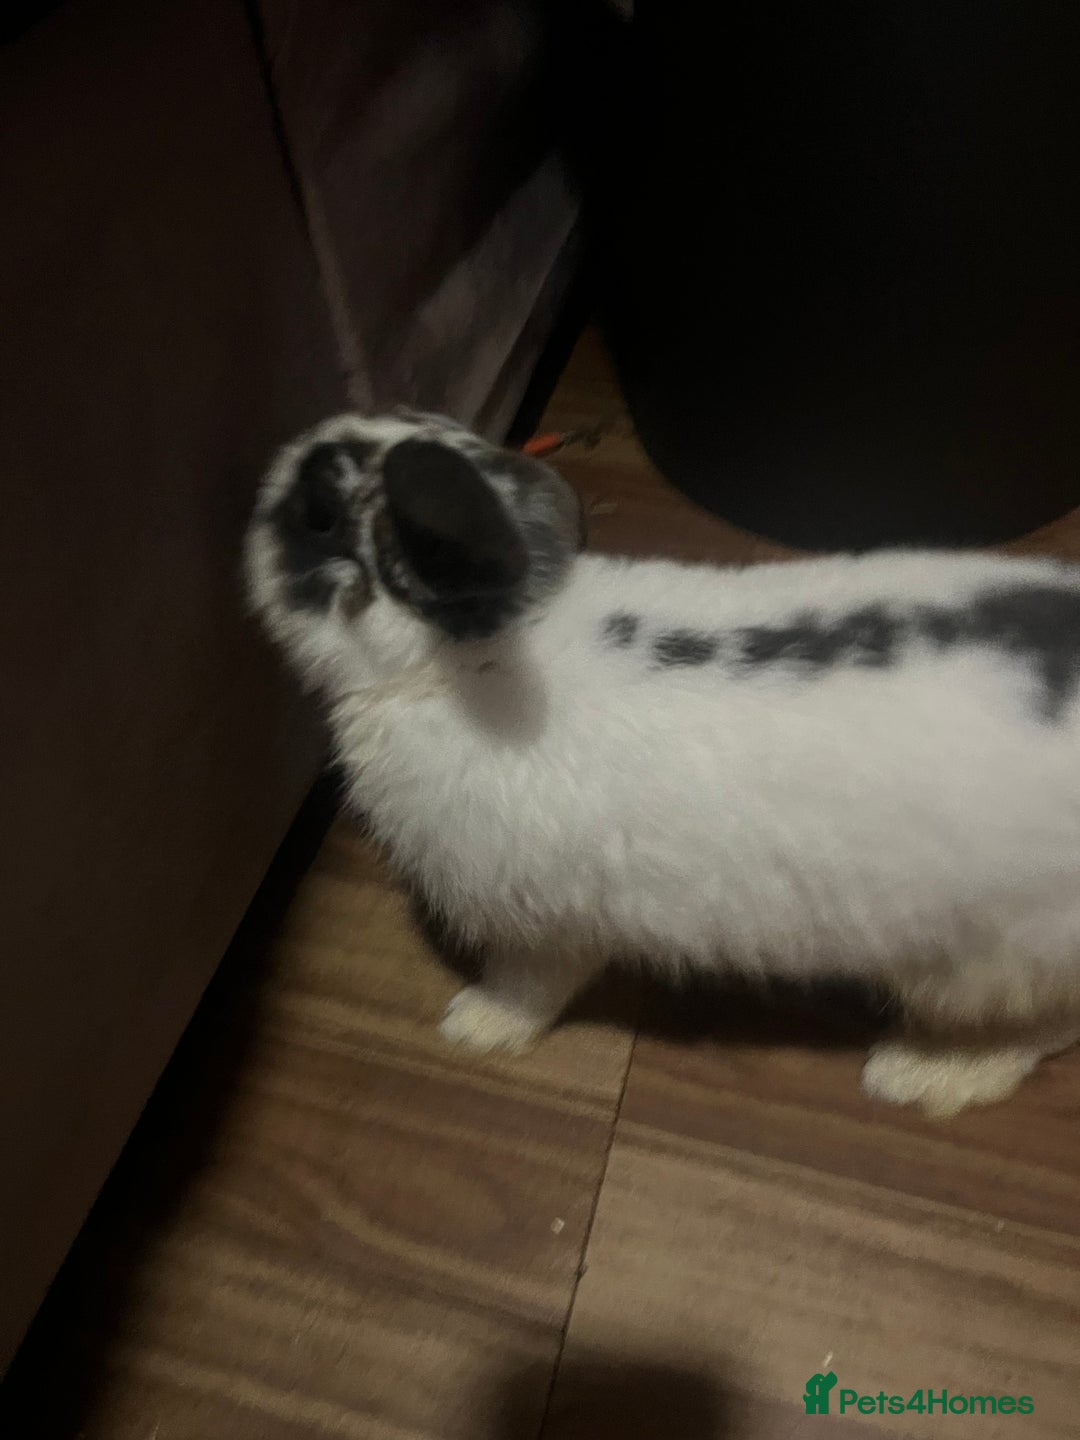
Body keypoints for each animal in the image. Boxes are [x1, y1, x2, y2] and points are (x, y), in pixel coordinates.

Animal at [244, 409, 1080, 1118]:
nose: (276, 466)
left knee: (1042, 1028)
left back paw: (921, 1072)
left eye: (318, 515)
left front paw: (475, 1026)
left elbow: (529, 988)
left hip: (993, 959)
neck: (465, 657)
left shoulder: (543, 924)